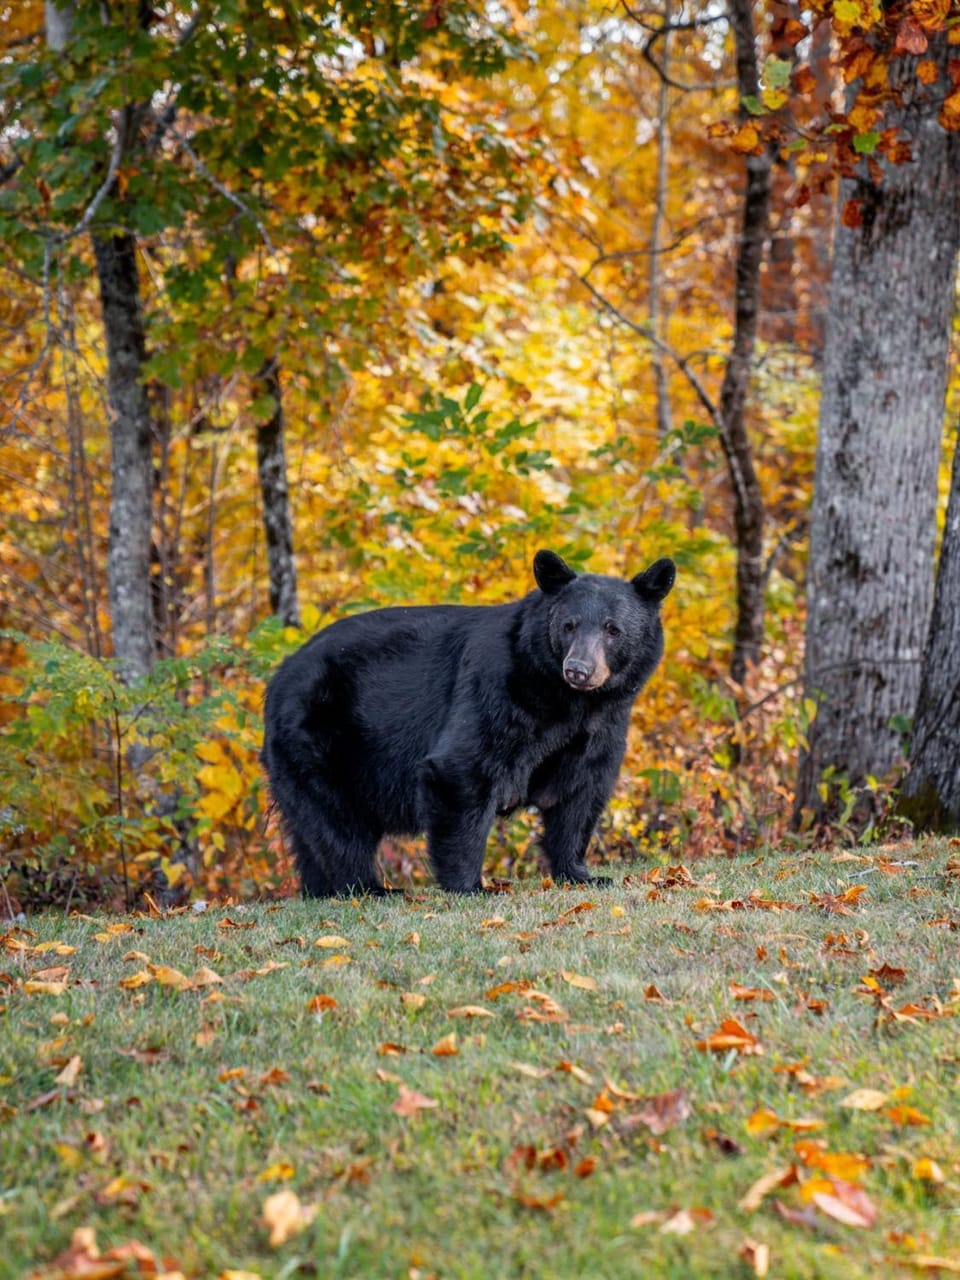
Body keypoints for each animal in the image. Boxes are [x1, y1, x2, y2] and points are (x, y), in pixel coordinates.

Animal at [260, 549, 676, 897]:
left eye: (612, 629)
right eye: (569, 625)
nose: (578, 669)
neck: (566, 701)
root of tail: (277, 678)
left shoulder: (600, 727)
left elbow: (580, 792)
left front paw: (581, 873)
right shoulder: (496, 691)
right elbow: (462, 770)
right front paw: (470, 885)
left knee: (313, 831)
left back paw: (320, 888)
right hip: (319, 738)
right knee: (340, 824)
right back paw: (370, 887)